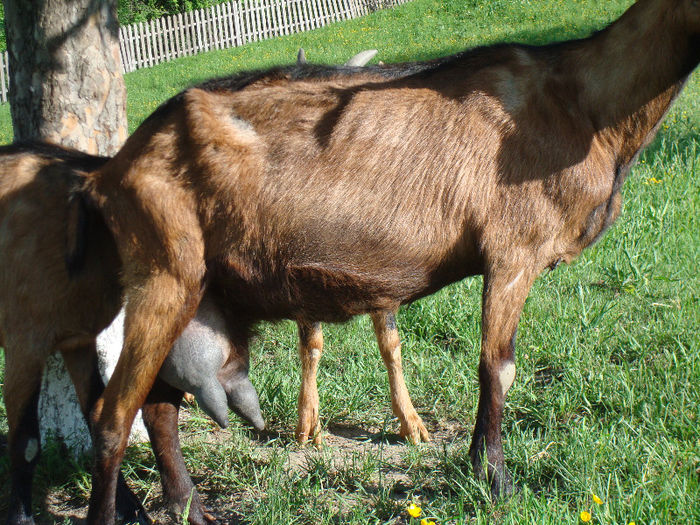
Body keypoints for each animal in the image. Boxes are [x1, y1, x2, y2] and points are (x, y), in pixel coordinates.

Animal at [83, 1, 700, 520]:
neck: (583, 100)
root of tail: (113, 168)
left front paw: (472, 465)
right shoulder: (512, 253)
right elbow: (497, 367)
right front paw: (496, 482)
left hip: (196, 292)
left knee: (159, 406)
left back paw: (188, 507)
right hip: (164, 273)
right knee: (112, 414)